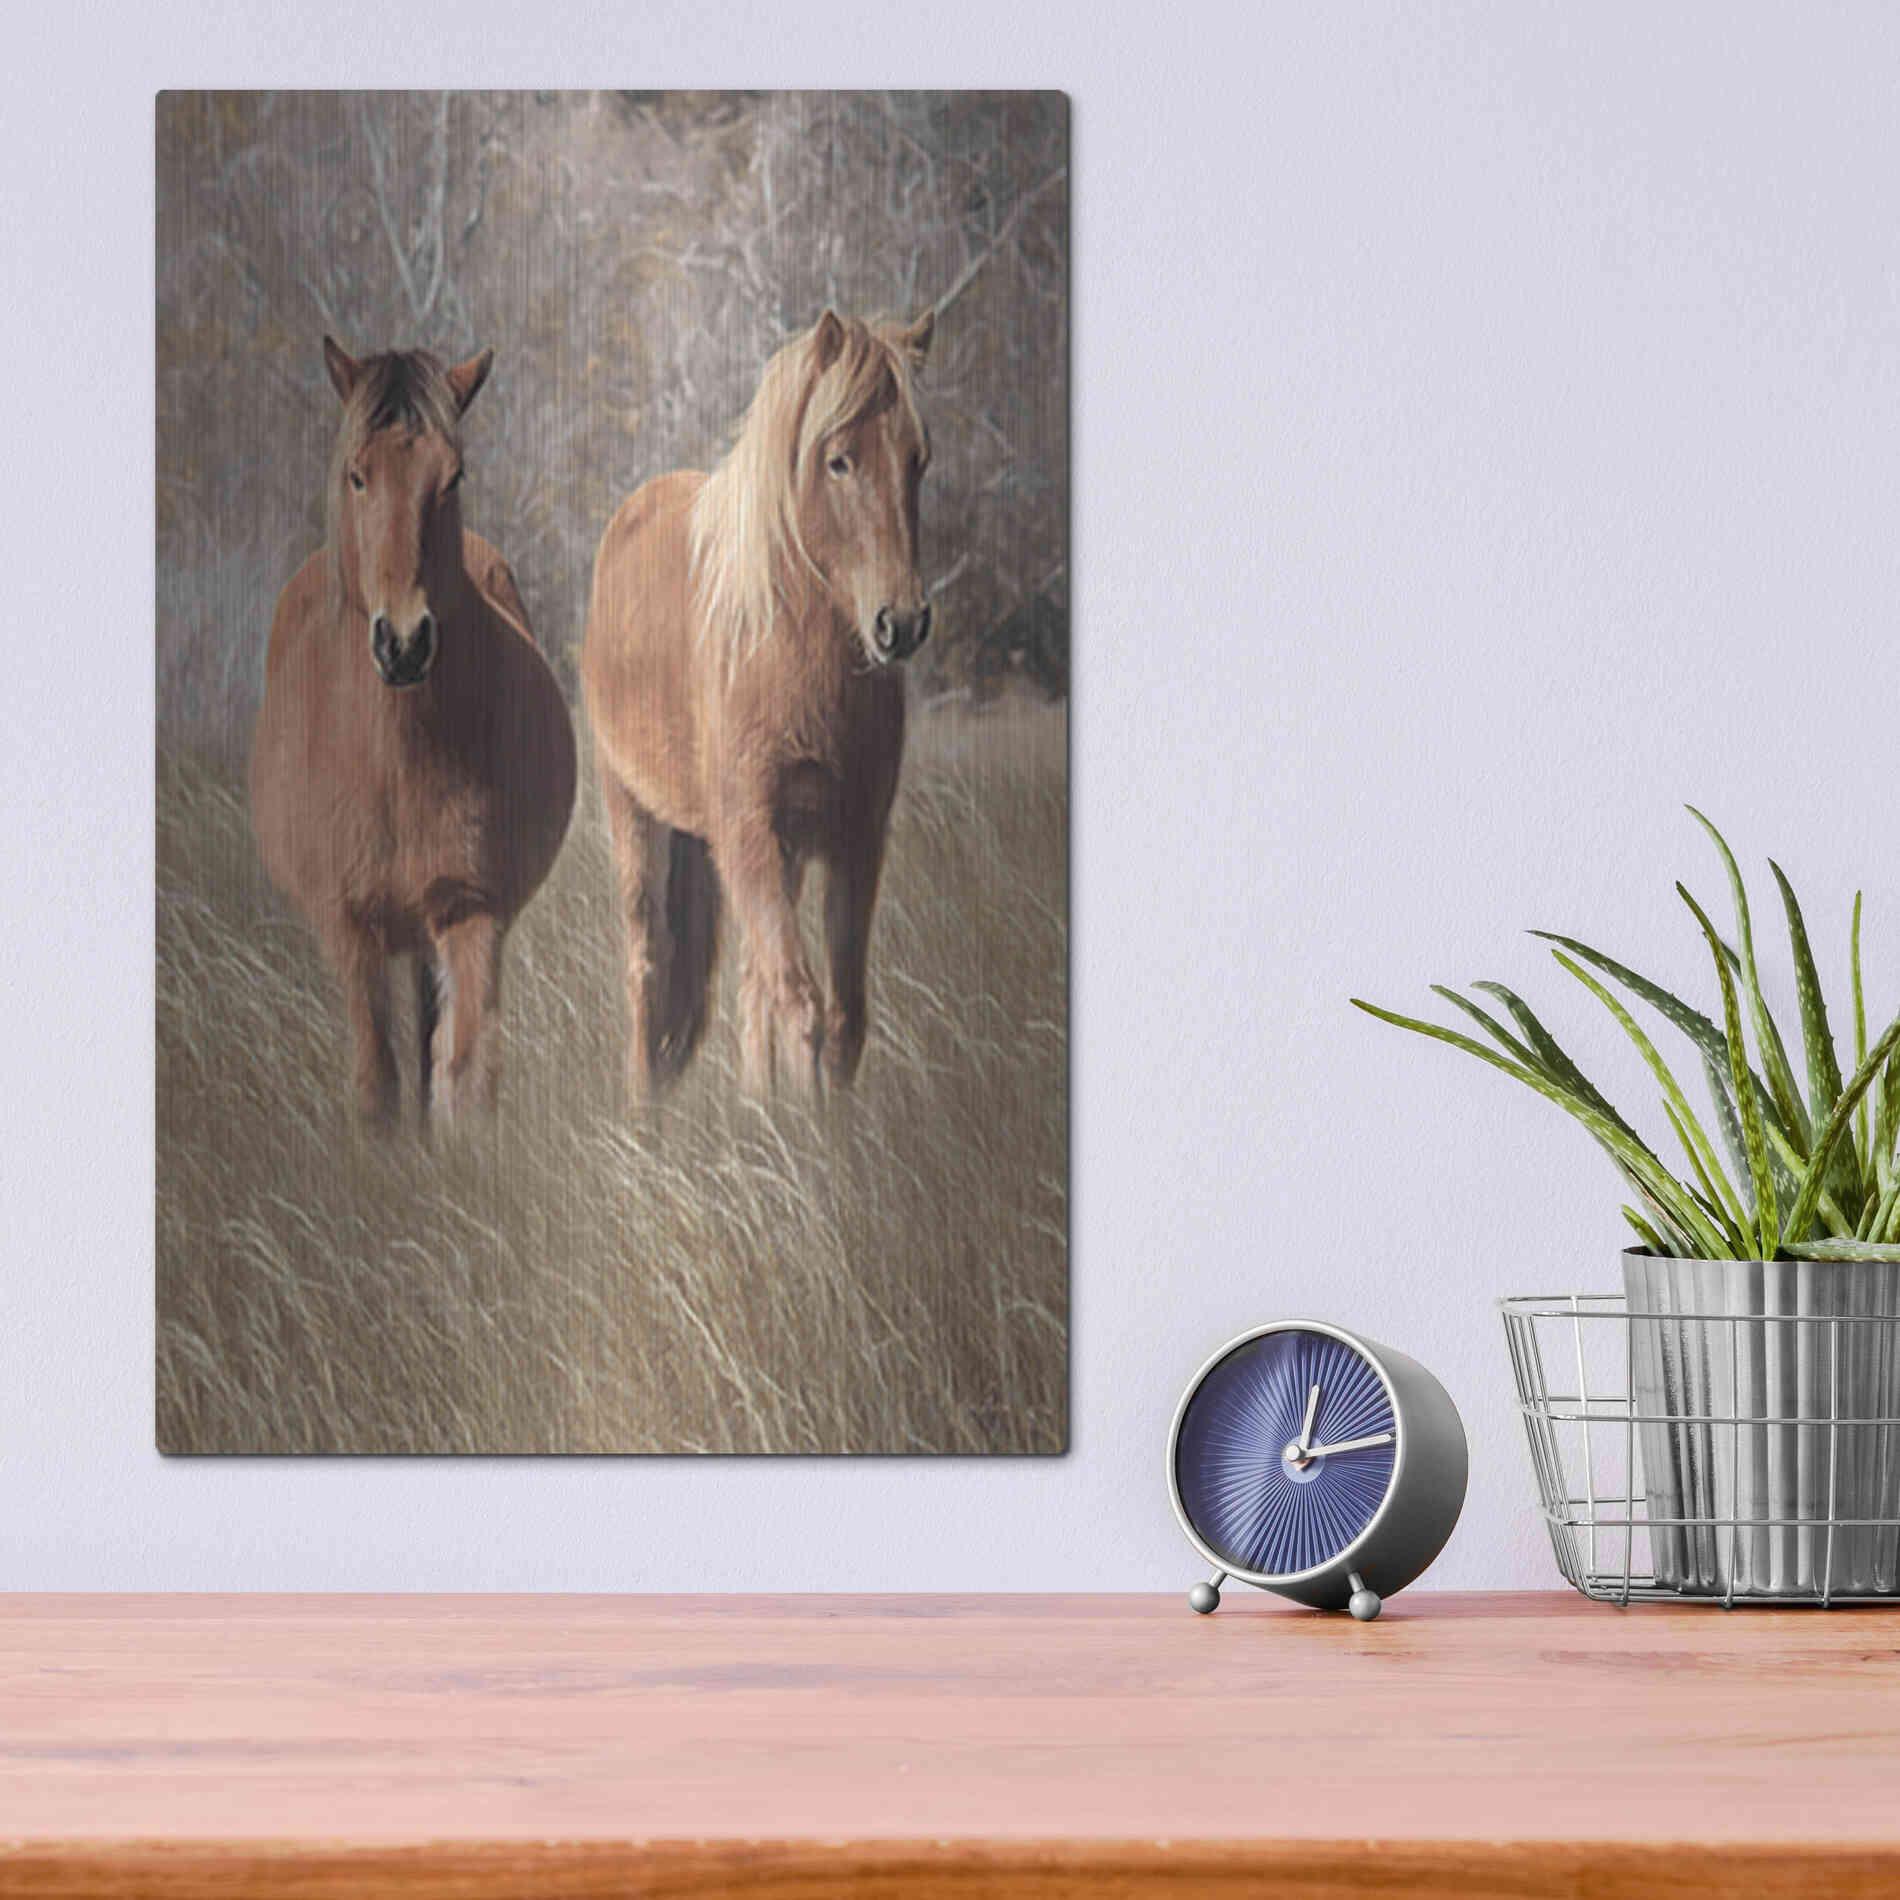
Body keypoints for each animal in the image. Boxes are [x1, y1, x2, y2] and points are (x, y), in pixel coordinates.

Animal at [250, 338, 577, 1125]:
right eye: (357, 475)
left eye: (452, 477)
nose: (402, 643)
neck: (393, 759)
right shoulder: (350, 927)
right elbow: (377, 1084)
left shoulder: (470, 910)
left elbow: (465, 1076)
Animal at [582, 307, 936, 1099]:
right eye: (839, 460)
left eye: (918, 459)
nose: (900, 624)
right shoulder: (747, 829)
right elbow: (801, 1006)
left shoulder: (853, 836)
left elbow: (841, 1016)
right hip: (635, 812)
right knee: (647, 967)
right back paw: (642, 1115)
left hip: (781, 849)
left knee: (749, 987)